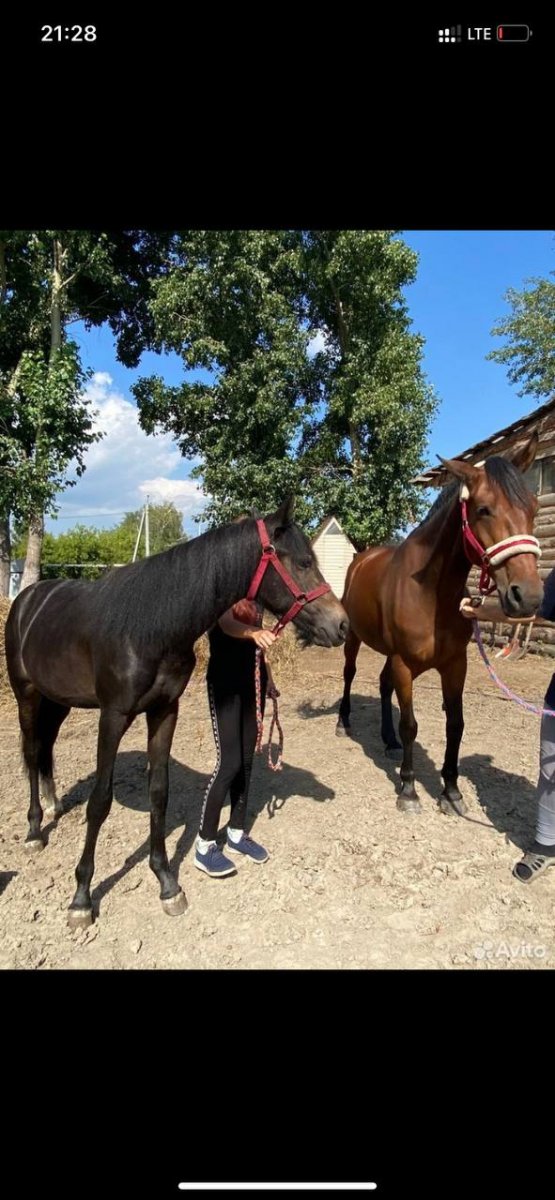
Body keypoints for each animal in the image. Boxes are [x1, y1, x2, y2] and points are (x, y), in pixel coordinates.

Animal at [5, 496, 348, 928]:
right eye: (302, 562)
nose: (342, 625)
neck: (150, 625)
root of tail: (27, 599)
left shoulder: (165, 711)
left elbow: (159, 793)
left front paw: (167, 883)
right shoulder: (113, 717)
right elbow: (100, 801)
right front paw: (82, 896)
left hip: (59, 700)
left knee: (46, 749)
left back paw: (54, 804)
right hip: (27, 696)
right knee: (33, 752)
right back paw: (35, 830)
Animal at [336, 433, 543, 815]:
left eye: (534, 507)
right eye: (483, 509)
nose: (529, 597)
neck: (430, 593)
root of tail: (362, 557)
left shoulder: (454, 665)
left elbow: (455, 725)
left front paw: (451, 791)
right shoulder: (405, 664)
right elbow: (410, 724)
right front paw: (408, 790)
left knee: (383, 685)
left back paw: (388, 741)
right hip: (354, 638)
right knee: (350, 674)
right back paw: (344, 723)